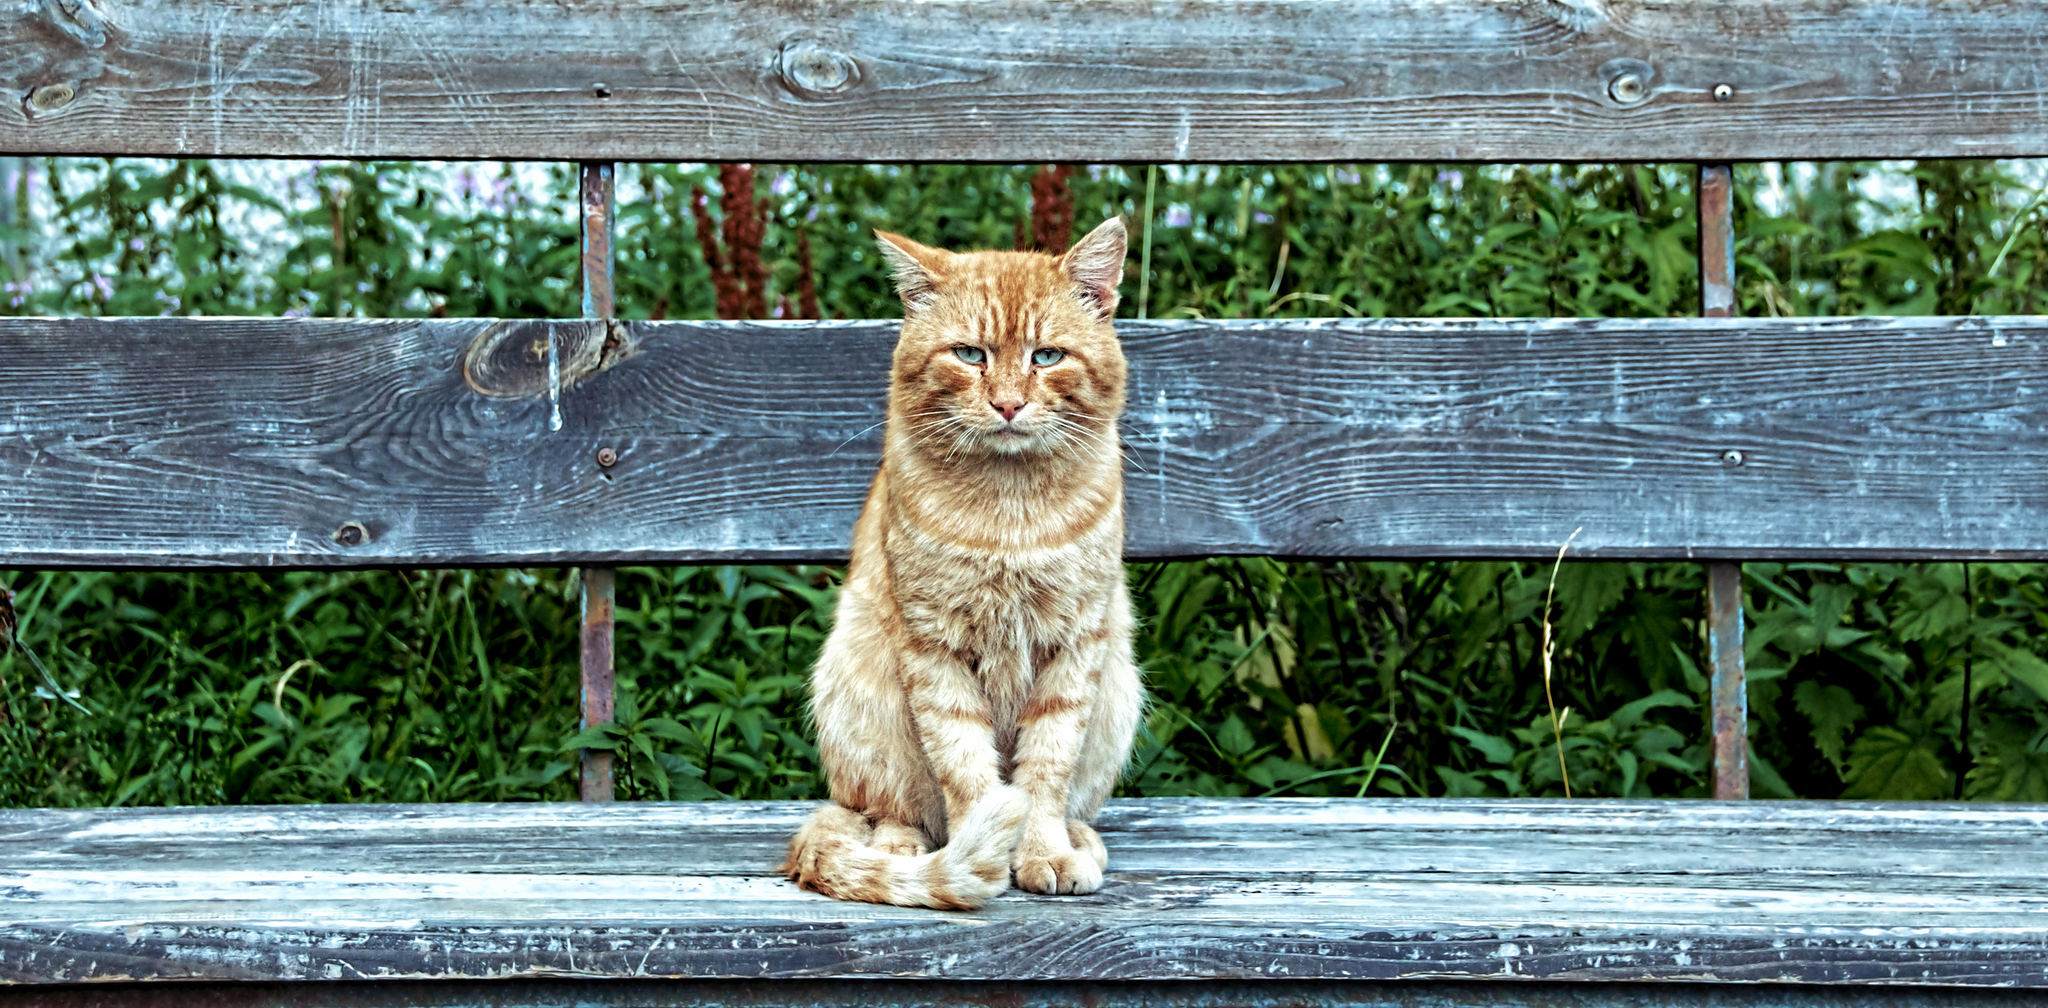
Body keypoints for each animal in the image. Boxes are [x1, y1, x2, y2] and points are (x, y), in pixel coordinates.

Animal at [778, 216, 1146, 909]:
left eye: (1046, 357)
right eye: (971, 355)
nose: (1007, 404)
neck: (1009, 509)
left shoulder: (1077, 643)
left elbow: (1046, 768)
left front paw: (1044, 851)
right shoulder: (934, 648)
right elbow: (968, 768)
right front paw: (988, 854)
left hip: (1118, 686)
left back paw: (1081, 838)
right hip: (860, 686)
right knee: (886, 811)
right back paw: (902, 849)